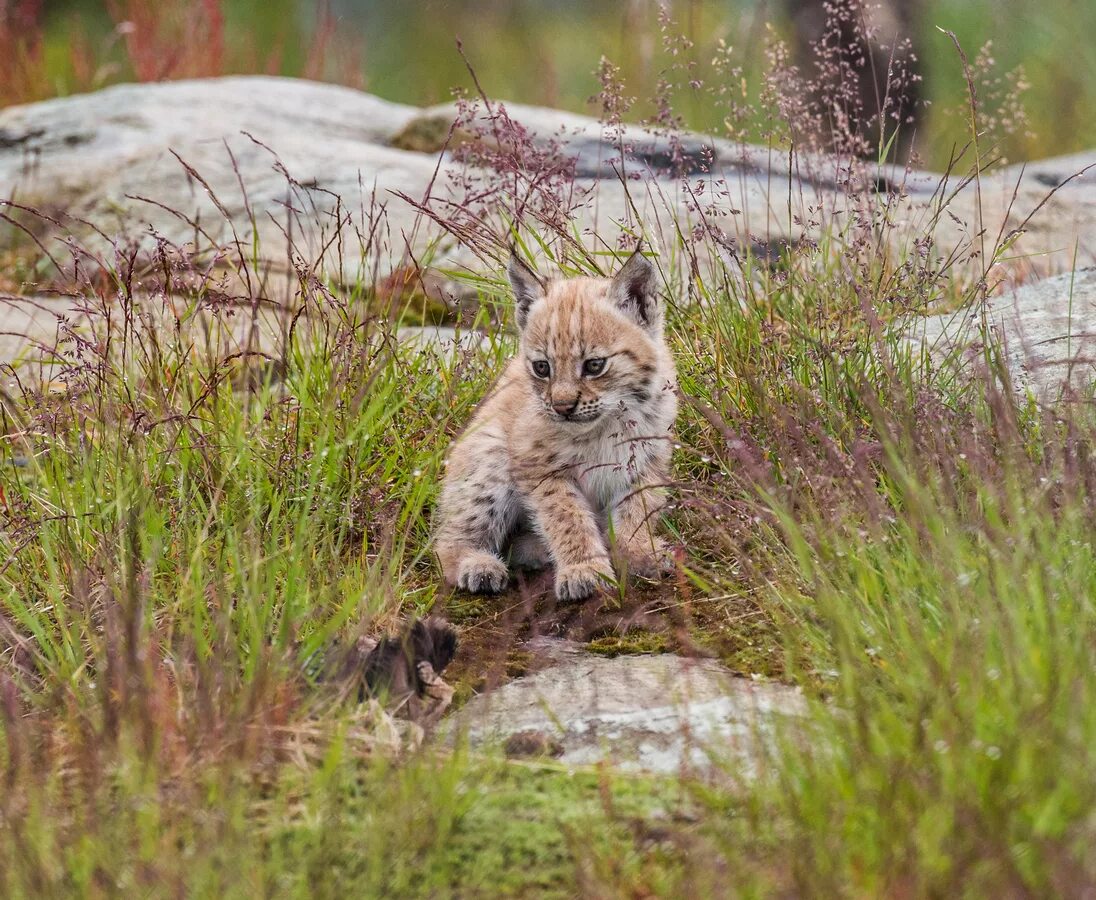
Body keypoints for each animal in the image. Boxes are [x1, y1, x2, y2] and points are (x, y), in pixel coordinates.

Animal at [429, 245, 670, 600]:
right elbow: (567, 517)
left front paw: (638, 553)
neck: (608, 421)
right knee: (445, 542)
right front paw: (585, 569)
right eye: (542, 368)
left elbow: (637, 511)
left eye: (595, 365)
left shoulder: (646, 461)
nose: (562, 407)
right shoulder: (540, 468)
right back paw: (477, 565)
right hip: (491, 454)